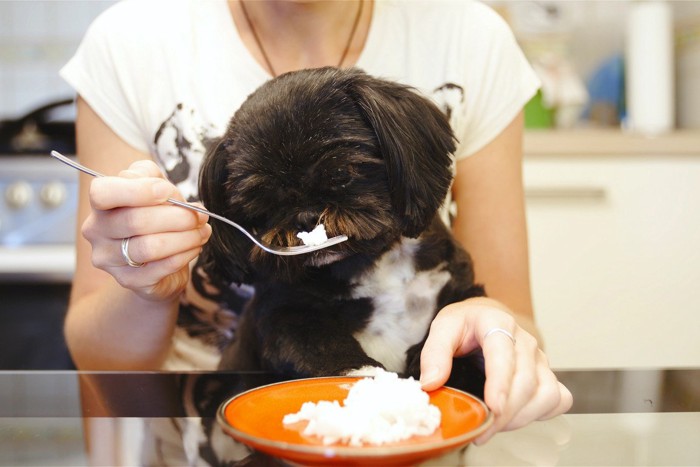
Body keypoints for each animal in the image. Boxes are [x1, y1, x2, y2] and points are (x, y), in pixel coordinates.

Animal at [198, 67, 486, 394]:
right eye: (263, 202)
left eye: (340, 173)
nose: (306, 217)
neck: (371, 263)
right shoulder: (284, 314)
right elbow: (324, 346)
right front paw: (366, 375)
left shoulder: (456, 285)